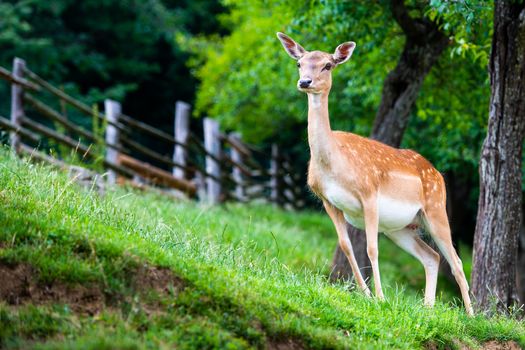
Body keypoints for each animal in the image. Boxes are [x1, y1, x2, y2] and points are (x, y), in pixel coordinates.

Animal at [276, 32, 472, 314]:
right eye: (299, 63)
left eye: (328, 65)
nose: (305, 82)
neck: (334, 164)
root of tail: (438, 174)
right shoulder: (327, 201)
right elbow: (346, 247)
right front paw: (366, 294)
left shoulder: (369, 192)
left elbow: (371, 248)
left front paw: (380, 297)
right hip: (401, 227)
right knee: (432, 256)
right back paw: (428, 308)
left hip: (435, 208)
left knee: (455, 260)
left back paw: (471, 315)